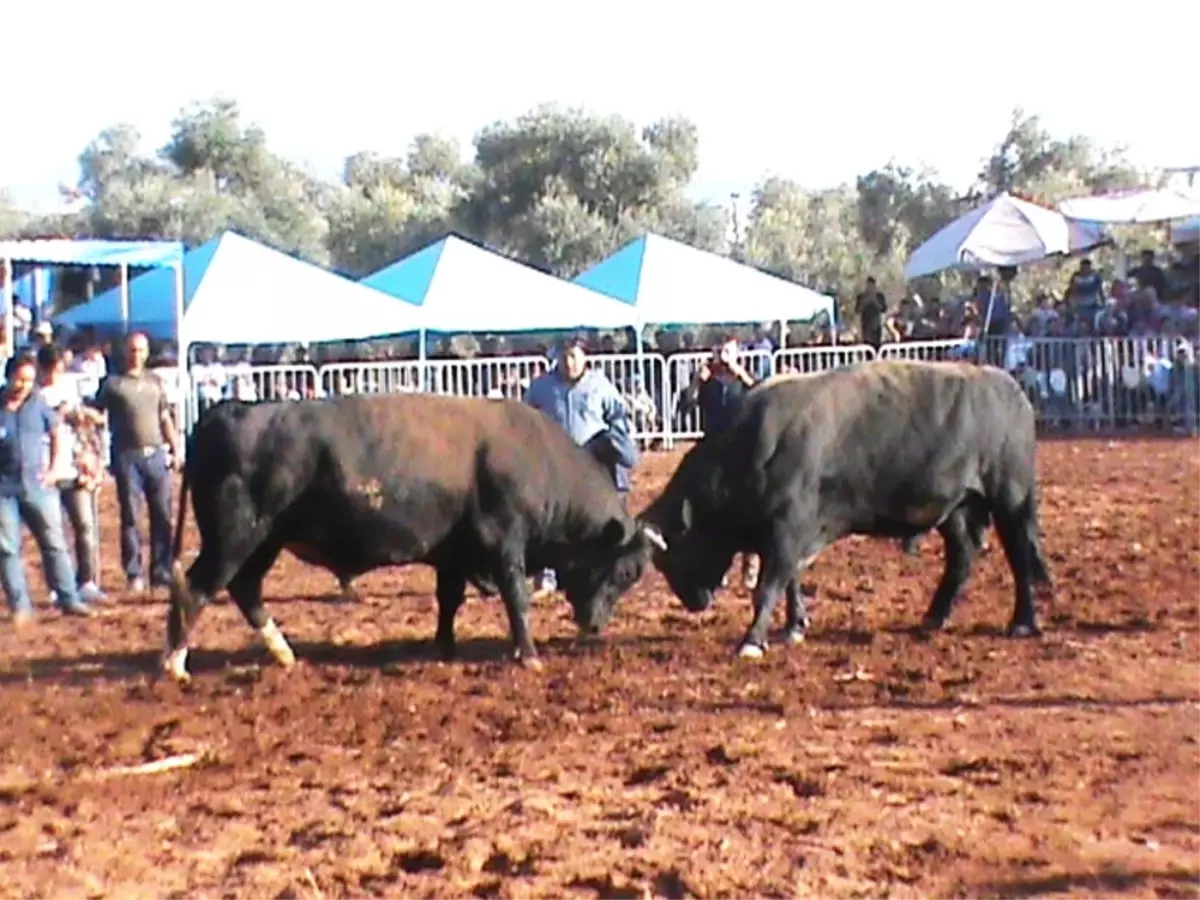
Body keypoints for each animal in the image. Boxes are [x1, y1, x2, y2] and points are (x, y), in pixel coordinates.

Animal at [160, 393, 667, 681]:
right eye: (627, 571)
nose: (596, 627)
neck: (534, 456)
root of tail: (228, 411)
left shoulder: (455, 554)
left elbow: (449, 600)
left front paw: (443, 647)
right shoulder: (504, 545)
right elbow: (516, 600)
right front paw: (528, 654)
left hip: (263, 542)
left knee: (244, 589)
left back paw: (284, 654)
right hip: (235, 538)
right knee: (196, 589)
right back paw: (175, 665)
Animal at [638, 362, 1051, 662]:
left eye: (671, 556)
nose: (693, 601)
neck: (754, 446)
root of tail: (1010, 388)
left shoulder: (787, 531)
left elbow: (768, 588)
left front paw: (752, 641)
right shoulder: (792, 537)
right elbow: (791, 581)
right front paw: (795, 626)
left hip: (1010, 501)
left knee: (1019, 558)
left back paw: (1022, 621)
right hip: (957, 510)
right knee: (962, 556)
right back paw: (934, 616)